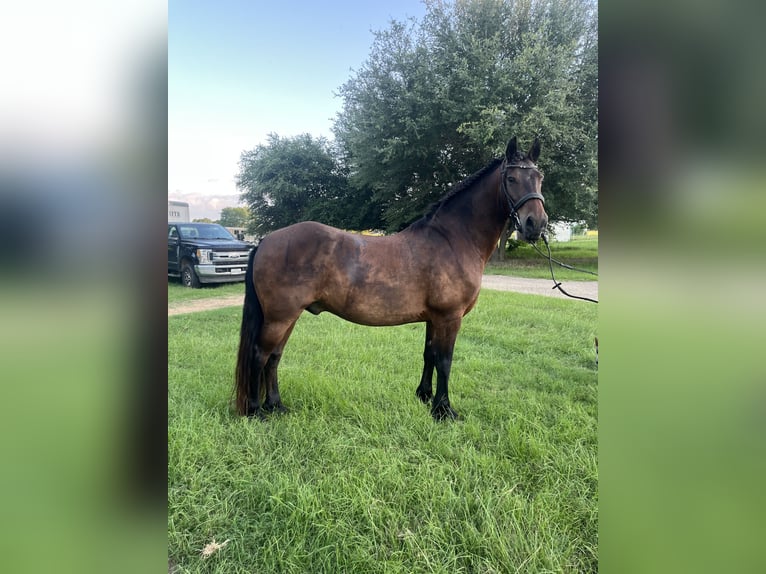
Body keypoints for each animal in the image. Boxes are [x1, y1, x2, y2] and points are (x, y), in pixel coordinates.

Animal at [235, 137, 548, 420]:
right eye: (511, 178)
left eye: (539, 177)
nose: (536, 224)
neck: (453, 239)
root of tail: (266, 240)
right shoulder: (449, 316)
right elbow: (445, 361)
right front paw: (444, 410)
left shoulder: (434, 318)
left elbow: (429, 355)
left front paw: (424, 397)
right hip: (280, 316)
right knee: (259, 355)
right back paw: (256, 412)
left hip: (289, 315)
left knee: (274, 357)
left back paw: (276, 406)